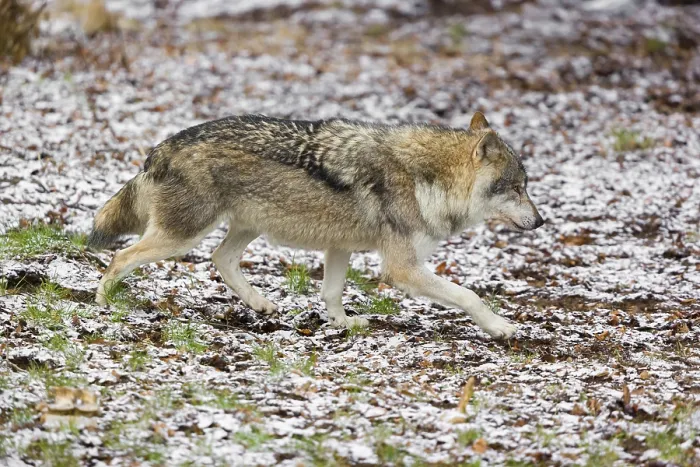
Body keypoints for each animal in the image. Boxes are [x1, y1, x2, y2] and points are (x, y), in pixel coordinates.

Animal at [88, 112, 544, 339]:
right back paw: (103, 304)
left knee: (221, 259)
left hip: (245, 227)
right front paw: (501, 327)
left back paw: (260, 305)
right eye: (518, 188)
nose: (540, 221)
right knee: (121, 257)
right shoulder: (401, 269)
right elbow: (470, 296)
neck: (425, 177)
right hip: (182, 237)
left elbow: (331, 293)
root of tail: (162, 147)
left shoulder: (339, 246)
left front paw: (343, 324)